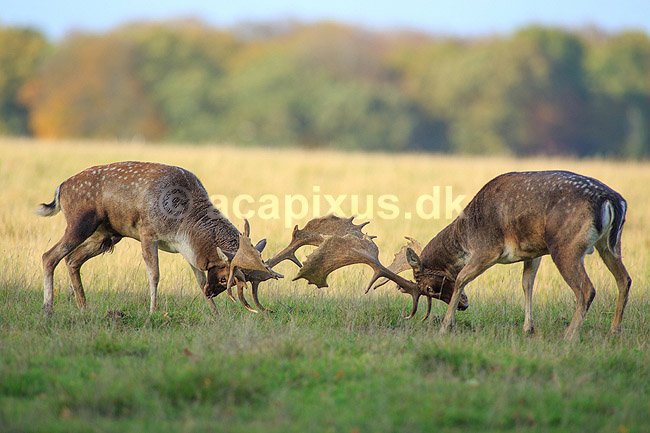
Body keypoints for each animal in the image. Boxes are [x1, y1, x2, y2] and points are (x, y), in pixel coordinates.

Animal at [36, 161, 279, 316]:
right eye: (224, 279)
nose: (211, 292)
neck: (182, 226)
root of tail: (61, 188)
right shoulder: (147, 232)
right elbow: (154, 275)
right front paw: (153, 310)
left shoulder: (188, 251)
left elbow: (199, 279)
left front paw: (216, 314)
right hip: (80, 223)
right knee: (50, 256)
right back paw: (48, 308)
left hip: (105, 235)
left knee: (72, 260)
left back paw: (84, 308)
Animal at [293, 171, 630, 341]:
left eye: (429, 288)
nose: (466, 306)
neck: (466, 232)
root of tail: (613, 200)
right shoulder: (532, 252)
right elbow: (527, 284)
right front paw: (528, 328)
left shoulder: (488, 248)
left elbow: (463, 277)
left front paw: (446, 325)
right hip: (609, 245)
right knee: (624, 279)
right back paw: (615, 331)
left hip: (566, 245)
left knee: (586, 289)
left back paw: (569, 336)